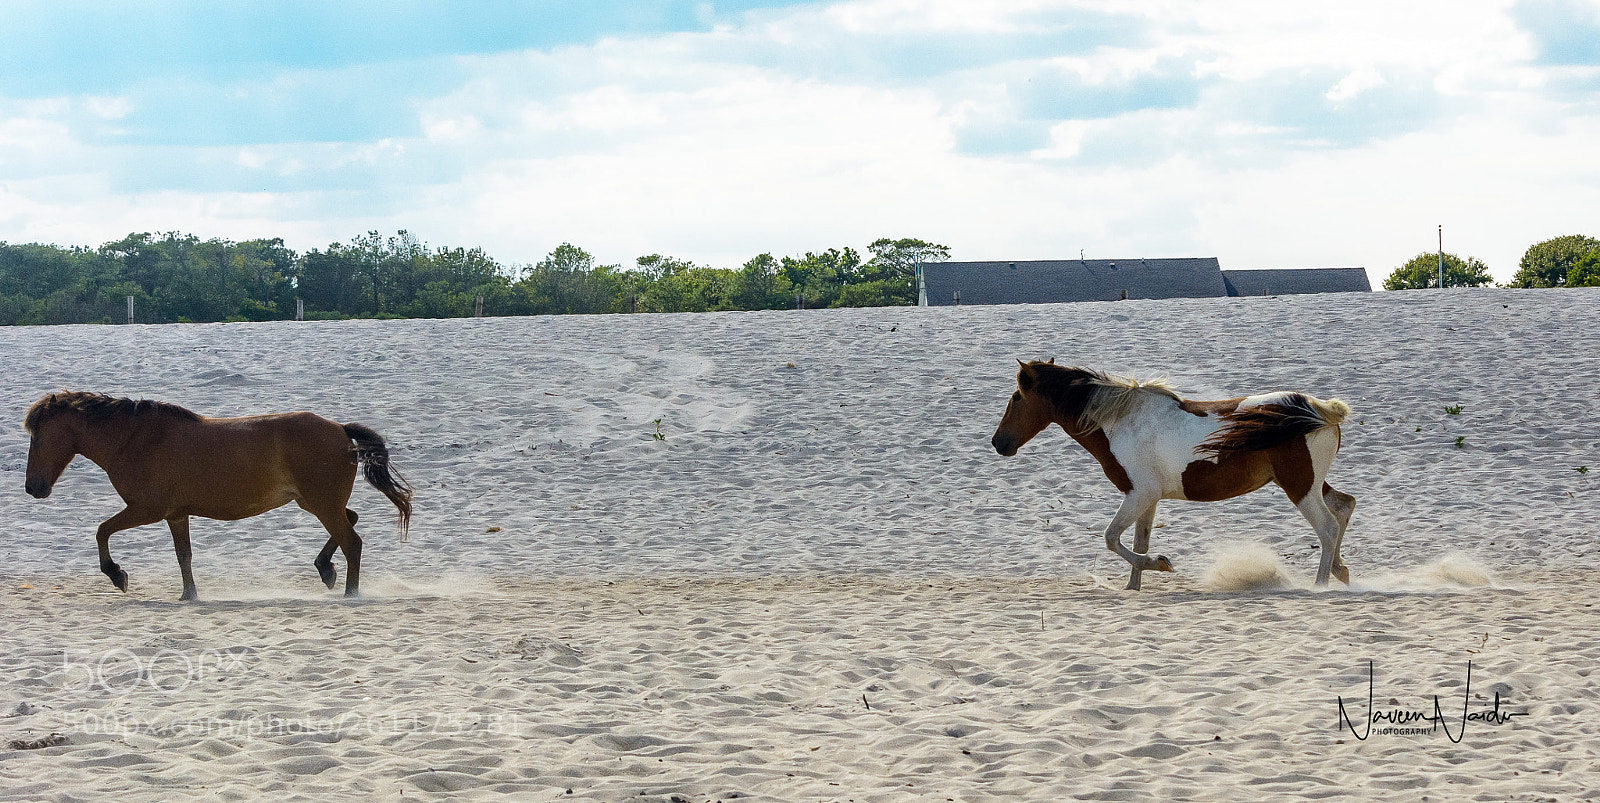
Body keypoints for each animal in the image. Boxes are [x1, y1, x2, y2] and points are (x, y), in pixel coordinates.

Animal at [23, 391, 413, 600]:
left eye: (37, 436)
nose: (32, 488)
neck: (134, 440)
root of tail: (341, 430)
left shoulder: (147, 509)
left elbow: (102, 530)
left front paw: (116, 574)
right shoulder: (175, 514)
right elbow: (183, 556)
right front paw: (189, 595)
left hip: (321, 504)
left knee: (352, 541)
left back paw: (349, 592)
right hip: (315, 502)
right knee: (350, 522)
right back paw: (325, 569)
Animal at [990, 360, 1356, 590]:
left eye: (1017, 397)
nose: (998, 442)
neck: (1120, 420)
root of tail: (1319, 410)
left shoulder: (1140, 494)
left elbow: (1111, 538)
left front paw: (1162, 563)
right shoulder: (1147, 499)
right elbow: (1138, 540)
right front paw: (1133, 586)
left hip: (1299, 486)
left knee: (1327, 527)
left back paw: (1321, 584)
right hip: (1307, 483)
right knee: (1344, 505)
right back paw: (1341, 570)